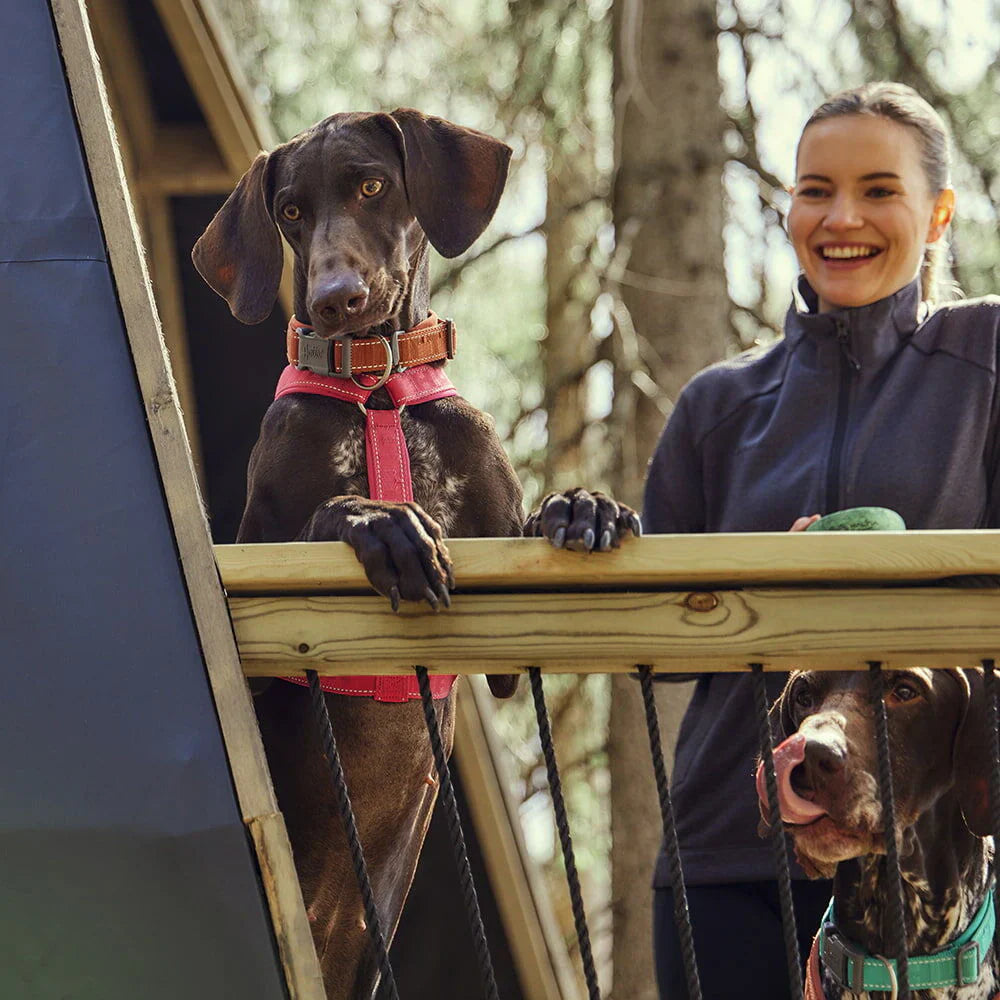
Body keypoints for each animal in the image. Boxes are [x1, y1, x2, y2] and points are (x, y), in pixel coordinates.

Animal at [191, 105, 636, 996]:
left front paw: (582, 504)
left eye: (372, 185)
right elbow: (332, 512)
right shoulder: (254, 596)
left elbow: (535, 524)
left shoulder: (502, 655)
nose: (335, 301)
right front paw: (385, 522)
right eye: (290, 210)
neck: (380, 388)